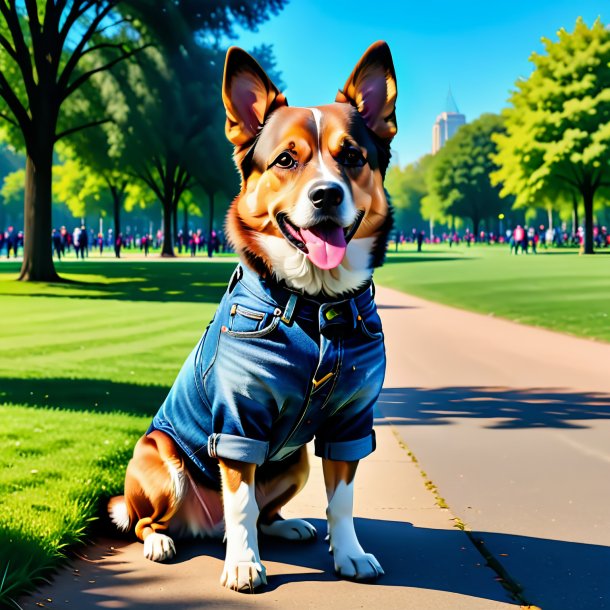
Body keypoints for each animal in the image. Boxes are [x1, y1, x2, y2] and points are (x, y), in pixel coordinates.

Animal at [107, 40, 396, 592]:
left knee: (265, 514)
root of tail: (200, 527)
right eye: (285, 159)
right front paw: (243, 564)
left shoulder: (350, 422)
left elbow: (342, 501)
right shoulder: (238, 424)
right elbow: (239, 504)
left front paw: (350, 554)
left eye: (352, 156)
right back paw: (163, 541)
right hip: (160, 458)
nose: (326, 194)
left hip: (296, 460)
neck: (316, 306)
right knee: (145, 520)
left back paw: (287, 527)